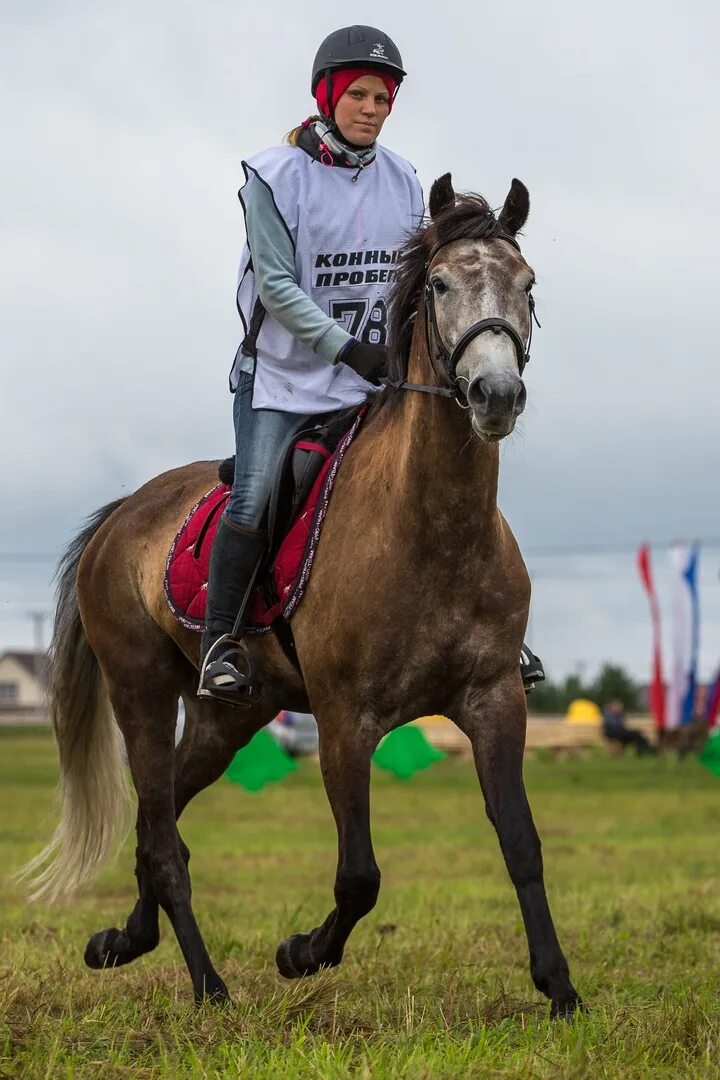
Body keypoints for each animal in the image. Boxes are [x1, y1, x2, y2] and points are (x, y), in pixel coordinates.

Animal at [21, 172, 587, 1015]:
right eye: (441, 284)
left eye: (527, 285)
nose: (496, 393)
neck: (433, 528)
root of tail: (119, 517)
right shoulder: (346, 720)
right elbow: (359, 876)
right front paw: (301, 953)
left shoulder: (494, 701)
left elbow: (521, 844)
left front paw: (560, 989)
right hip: (142, 694)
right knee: (162, 838)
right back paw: (209, 986)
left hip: (230, 717)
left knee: (162, 825)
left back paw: (123, 941)